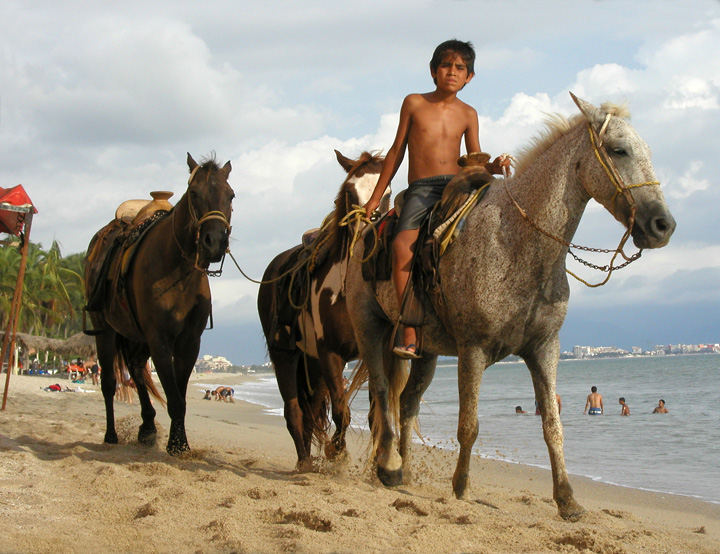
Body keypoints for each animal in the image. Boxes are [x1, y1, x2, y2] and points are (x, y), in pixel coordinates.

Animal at [83, 152, 233, 452]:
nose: (214, 242)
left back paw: (148, 426)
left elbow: (180, 396)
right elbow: (174, 399)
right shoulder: (159, 339)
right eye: (194, 193)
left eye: (231, 195)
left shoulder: (189, 342)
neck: (178, 268)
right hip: (106, 330)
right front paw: (178, 445)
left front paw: (177, 441)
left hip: (136, 337)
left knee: (137, 370)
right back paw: (111, 435)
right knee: (109, 382)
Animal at [258, 149, 390, 468]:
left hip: (312, 363)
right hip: (285, 355)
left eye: (389, 193)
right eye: (350, 192)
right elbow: (342, 412)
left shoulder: (372, 352)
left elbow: (375, 415)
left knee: (310, 410)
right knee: (293, 411)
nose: (367, 235)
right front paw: (337, 453)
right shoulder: (331, 354)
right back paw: (304, 463)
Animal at [344, 94, 676, 516]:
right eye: (619, 150)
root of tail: (366, 231)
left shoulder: (544, 348)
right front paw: (462, 488)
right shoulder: (473, 350)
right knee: (382, 395)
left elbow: (552, 424)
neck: (519, 241)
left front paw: (567, 499)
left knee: (406, 404)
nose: (663, 226)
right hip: (370, 330)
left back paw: (403, 472)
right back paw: (388, 466)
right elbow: (469, 426)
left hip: (425, 352)